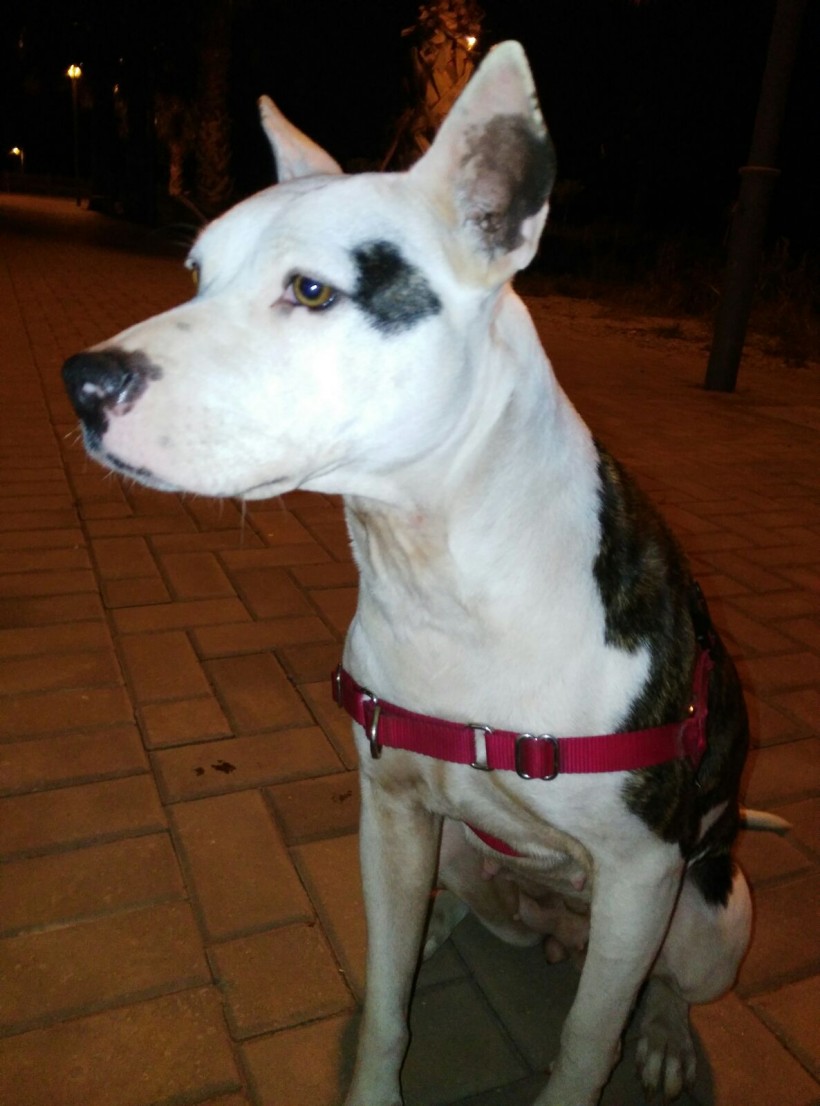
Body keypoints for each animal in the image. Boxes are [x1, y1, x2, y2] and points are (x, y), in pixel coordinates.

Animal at [63, 42, 754, 1106]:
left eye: (312, 292)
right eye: (197, 273)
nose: (83, 385)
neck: (441, 570)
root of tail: (558, 924)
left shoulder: (644, 876)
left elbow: (586, 1042)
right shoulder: (387, 811)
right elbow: (388, 1005)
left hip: (711, 912)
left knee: (669, 980)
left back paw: (669, 1033)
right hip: (459, 851)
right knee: (451, 907)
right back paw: (439, 929)